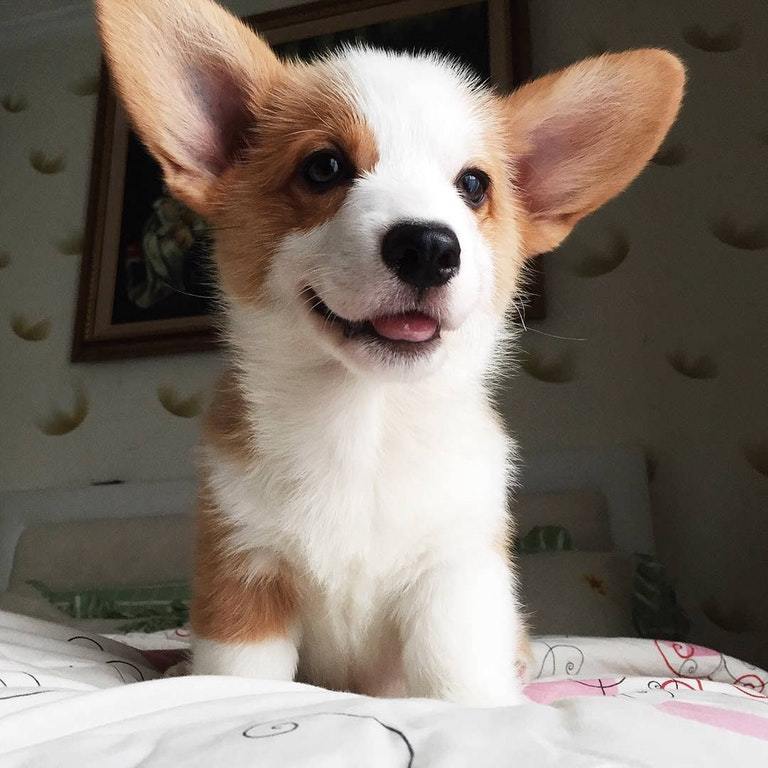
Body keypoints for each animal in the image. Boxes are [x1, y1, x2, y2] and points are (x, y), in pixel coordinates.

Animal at [97, 0, 684, 704]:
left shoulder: (455, 577)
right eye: (323, 167)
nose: (429, 247)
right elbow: (242, 676)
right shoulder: (244, 567)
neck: (362, 419)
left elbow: (460, 681)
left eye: (473, 185)